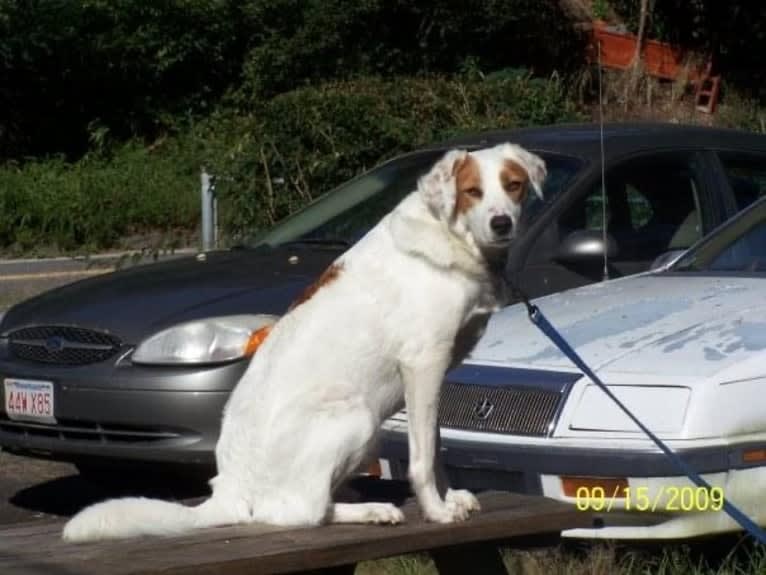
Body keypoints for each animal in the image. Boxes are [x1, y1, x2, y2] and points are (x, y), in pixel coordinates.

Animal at [64, 142, 544, 544]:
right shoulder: (422, 365)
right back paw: (371, 510)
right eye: (472, 191)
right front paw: (437, 511)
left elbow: (437, 450)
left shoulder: (435, 377)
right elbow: (423, 460)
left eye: (514, 185)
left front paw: (451, 497)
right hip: (358, 417)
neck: (454, 239)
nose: (502, 223)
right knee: (297, 513)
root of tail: (230, 488)